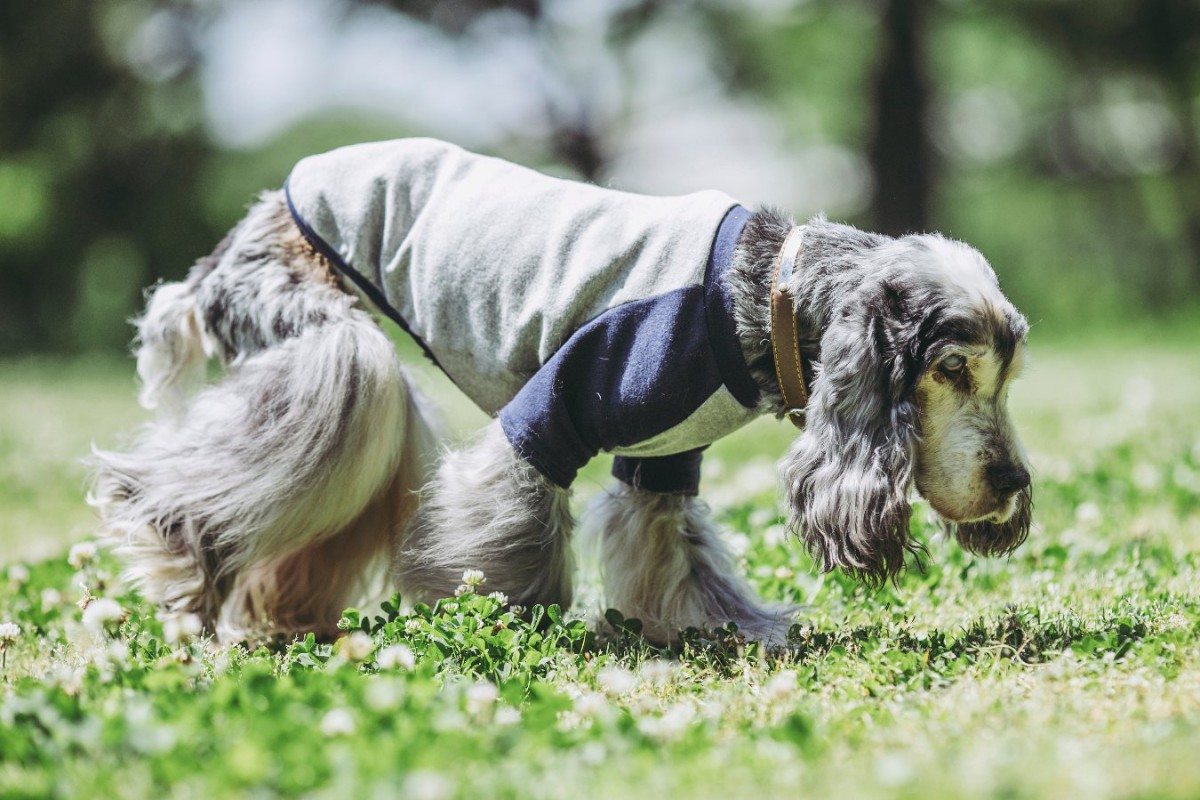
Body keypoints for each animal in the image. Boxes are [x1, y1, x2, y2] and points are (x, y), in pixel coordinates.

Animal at [91, 137, 1032, 642]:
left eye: (1009, 373)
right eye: (951, 370)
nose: (1015, 481)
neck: (762, 293)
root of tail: (242, 229)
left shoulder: (665, 456)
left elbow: (676, 552)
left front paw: (735, 628)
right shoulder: (560, 405)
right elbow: (508, 519)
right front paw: (499, 612)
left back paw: (287, 614)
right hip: (327, 338)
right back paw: (181, 547)